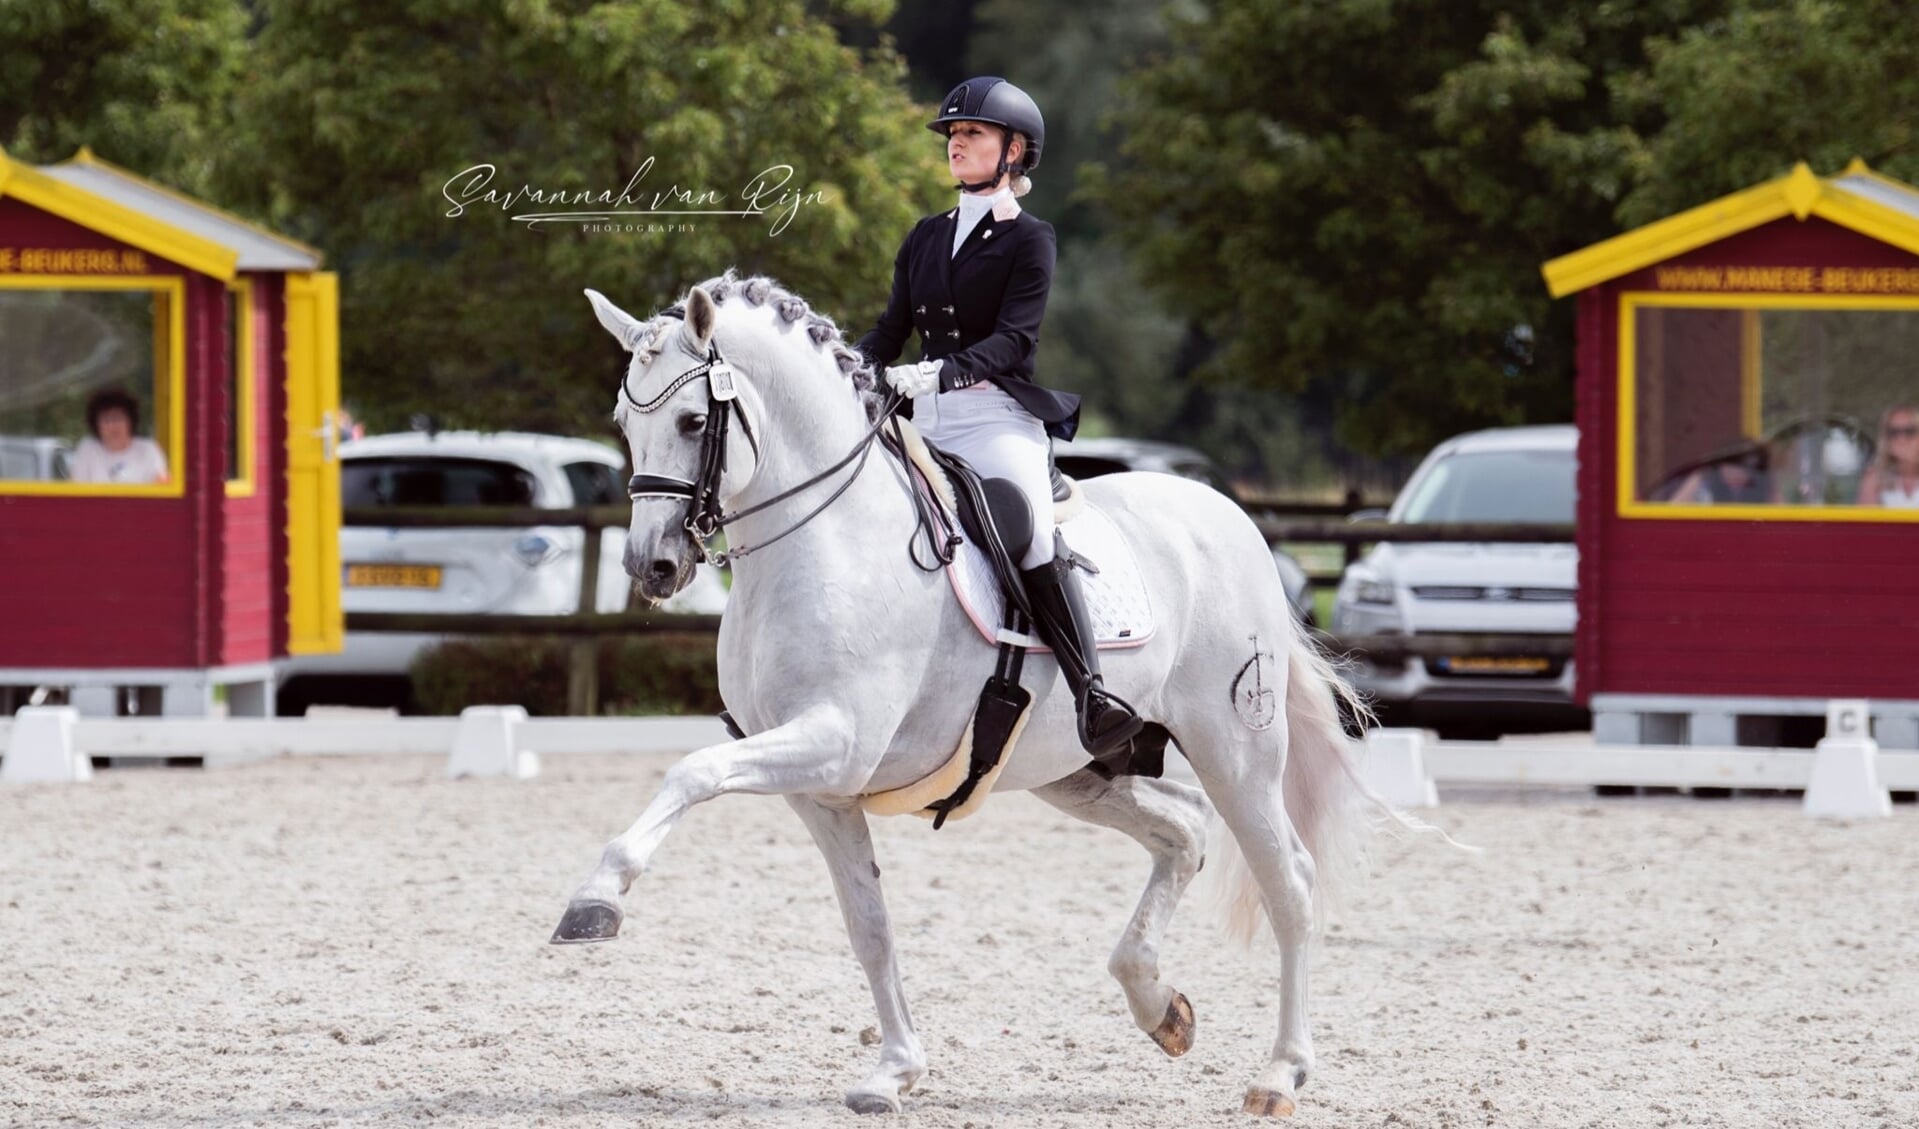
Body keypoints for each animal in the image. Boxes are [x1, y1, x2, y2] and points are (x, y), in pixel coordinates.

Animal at [556, 272, 1381, 1121]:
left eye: (693, 420)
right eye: (624, 423)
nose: (651, 566)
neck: (825, 538)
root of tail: (1229, 516)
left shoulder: (833, 740)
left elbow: (690, 771)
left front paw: (596, 899)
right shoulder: (822, 790)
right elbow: (869, 925)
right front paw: (894, 1070)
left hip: (1236, 748)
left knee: (1287, 880)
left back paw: (1279, 1073)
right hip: (1073, 768)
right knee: (1183, 830)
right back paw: (1161, 1007)